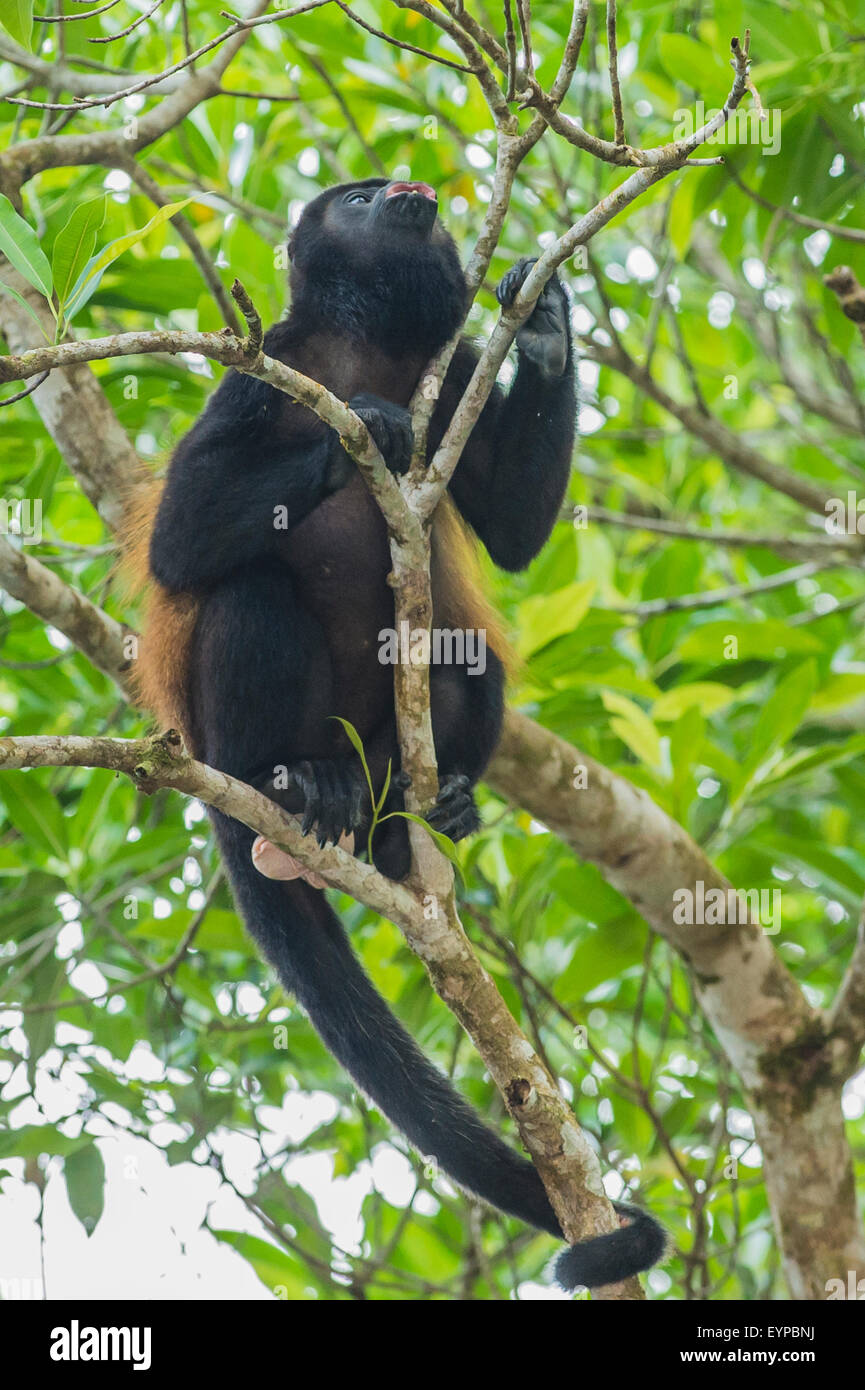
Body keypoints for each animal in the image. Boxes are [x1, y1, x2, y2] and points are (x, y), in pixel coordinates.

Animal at [132, 176, 667, 1289]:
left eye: (383, 184)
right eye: (354, 196)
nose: (401, 187)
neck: (366, 343)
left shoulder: (451, 370)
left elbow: (512, 529)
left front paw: (548, 329)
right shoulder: (259, 366)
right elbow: (184, 535)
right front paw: (366, 431)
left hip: (389, 750)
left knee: (464, 655)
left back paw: (412, 819)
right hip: (230, 735)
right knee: (249, 589)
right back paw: (285, 786)